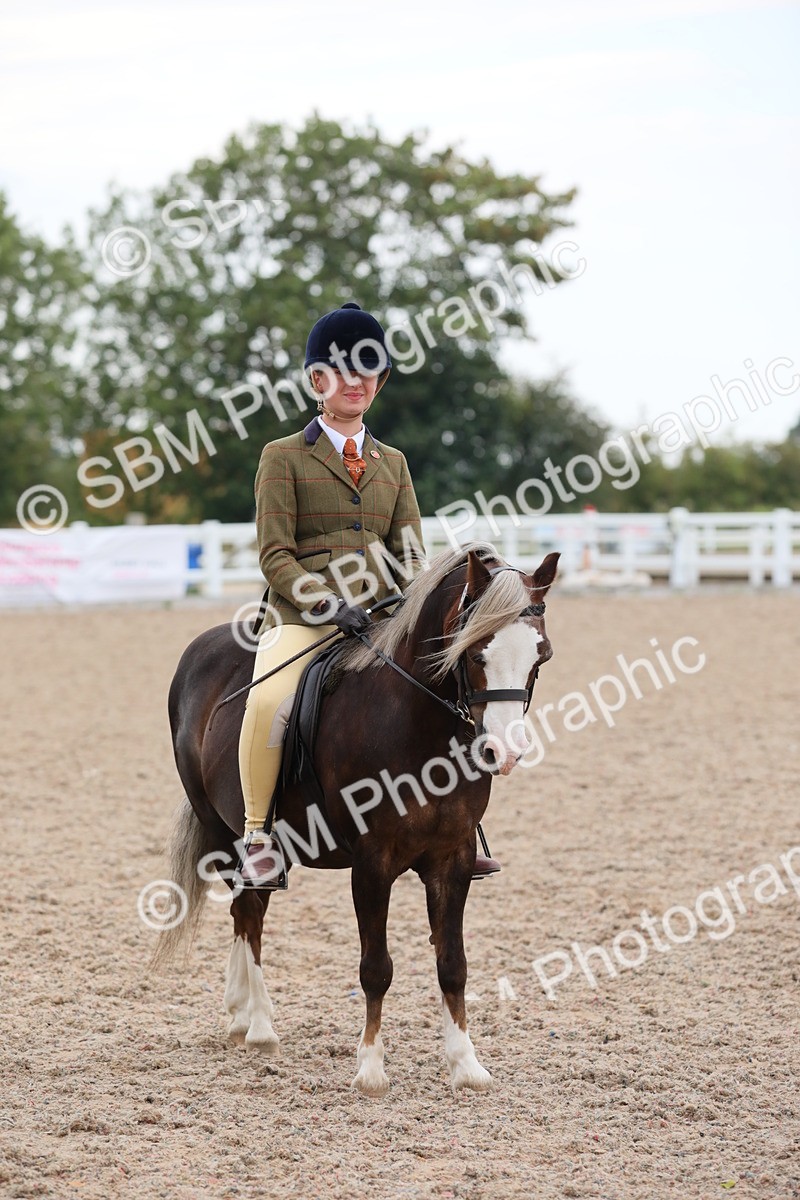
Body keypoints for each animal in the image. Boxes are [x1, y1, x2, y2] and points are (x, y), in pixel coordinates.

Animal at [155, 542, 559, 1096]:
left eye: (541, 656)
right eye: (476, 653)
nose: (505, 751)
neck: (416, 723)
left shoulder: (452, 860)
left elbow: (453, 964)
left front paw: (466, 1064)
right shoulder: (372, 863)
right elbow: (376, 967)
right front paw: (370, 1069)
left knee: (246, 911)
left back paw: (239, 1015)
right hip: (222, 831)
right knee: (249, 912)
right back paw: (258, 1026)